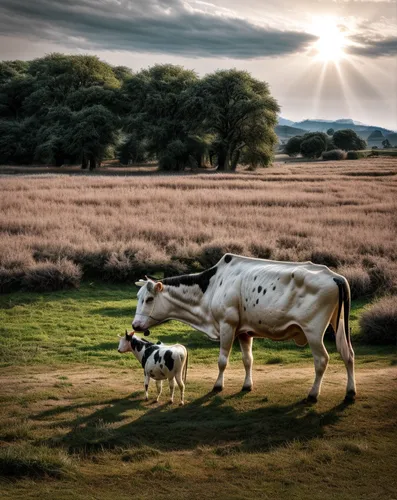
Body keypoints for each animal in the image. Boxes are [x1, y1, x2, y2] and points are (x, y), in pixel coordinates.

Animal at [132, 254, 356, 402]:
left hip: (313, 332)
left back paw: (313, 394)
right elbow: (248, 360)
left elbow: (222, 361)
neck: (211, 287)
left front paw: (218, 385)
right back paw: (350, 392)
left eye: (149, 299)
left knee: (322, 360)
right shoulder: (245, 332)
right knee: (348, 354)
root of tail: (336, 277)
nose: (135, 325)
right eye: (138, 297)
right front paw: (247, 385)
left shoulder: (227, 325)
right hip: (338, 326)